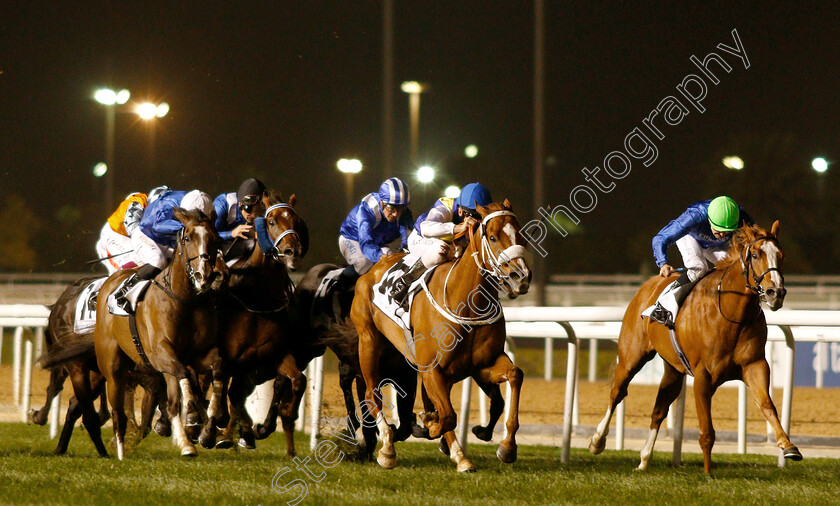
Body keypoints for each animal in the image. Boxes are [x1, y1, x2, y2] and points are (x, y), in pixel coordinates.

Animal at [94, 208, 226, 460]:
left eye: (215, 239)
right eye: (188, 238)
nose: (203, 276)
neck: (185, 300)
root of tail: (110, 282)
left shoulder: (201, 353)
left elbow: (217, 371)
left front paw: (209, 425)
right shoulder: (161, 353)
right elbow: (181, 381)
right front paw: (191, 420)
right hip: (113, 367)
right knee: (118, 411)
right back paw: (121, 451)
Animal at [350, 200, 532, 472]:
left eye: (520, 235)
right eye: (492, 237)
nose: (521, 277)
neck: (465, 302)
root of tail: (373, 269)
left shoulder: (482, 365)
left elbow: (514, 376)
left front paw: (507, 447)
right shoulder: (431, 370)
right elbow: (446, 415)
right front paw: (435, 429)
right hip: (369, 342)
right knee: (372, 395)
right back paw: (388, 448)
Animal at [588, 219, 804, 472]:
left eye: (781, 255)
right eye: (754, 254)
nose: (775, 293)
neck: (732, 313)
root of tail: (648, 285)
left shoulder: (754, 364)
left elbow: (767, 404)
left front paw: (789, 446)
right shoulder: (703, 375)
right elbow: (707, 431)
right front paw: (708, 473)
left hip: (673, 368)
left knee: (659, 409)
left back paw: (643, 460)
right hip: (631, 356)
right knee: (617, 393)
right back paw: (597, 441)